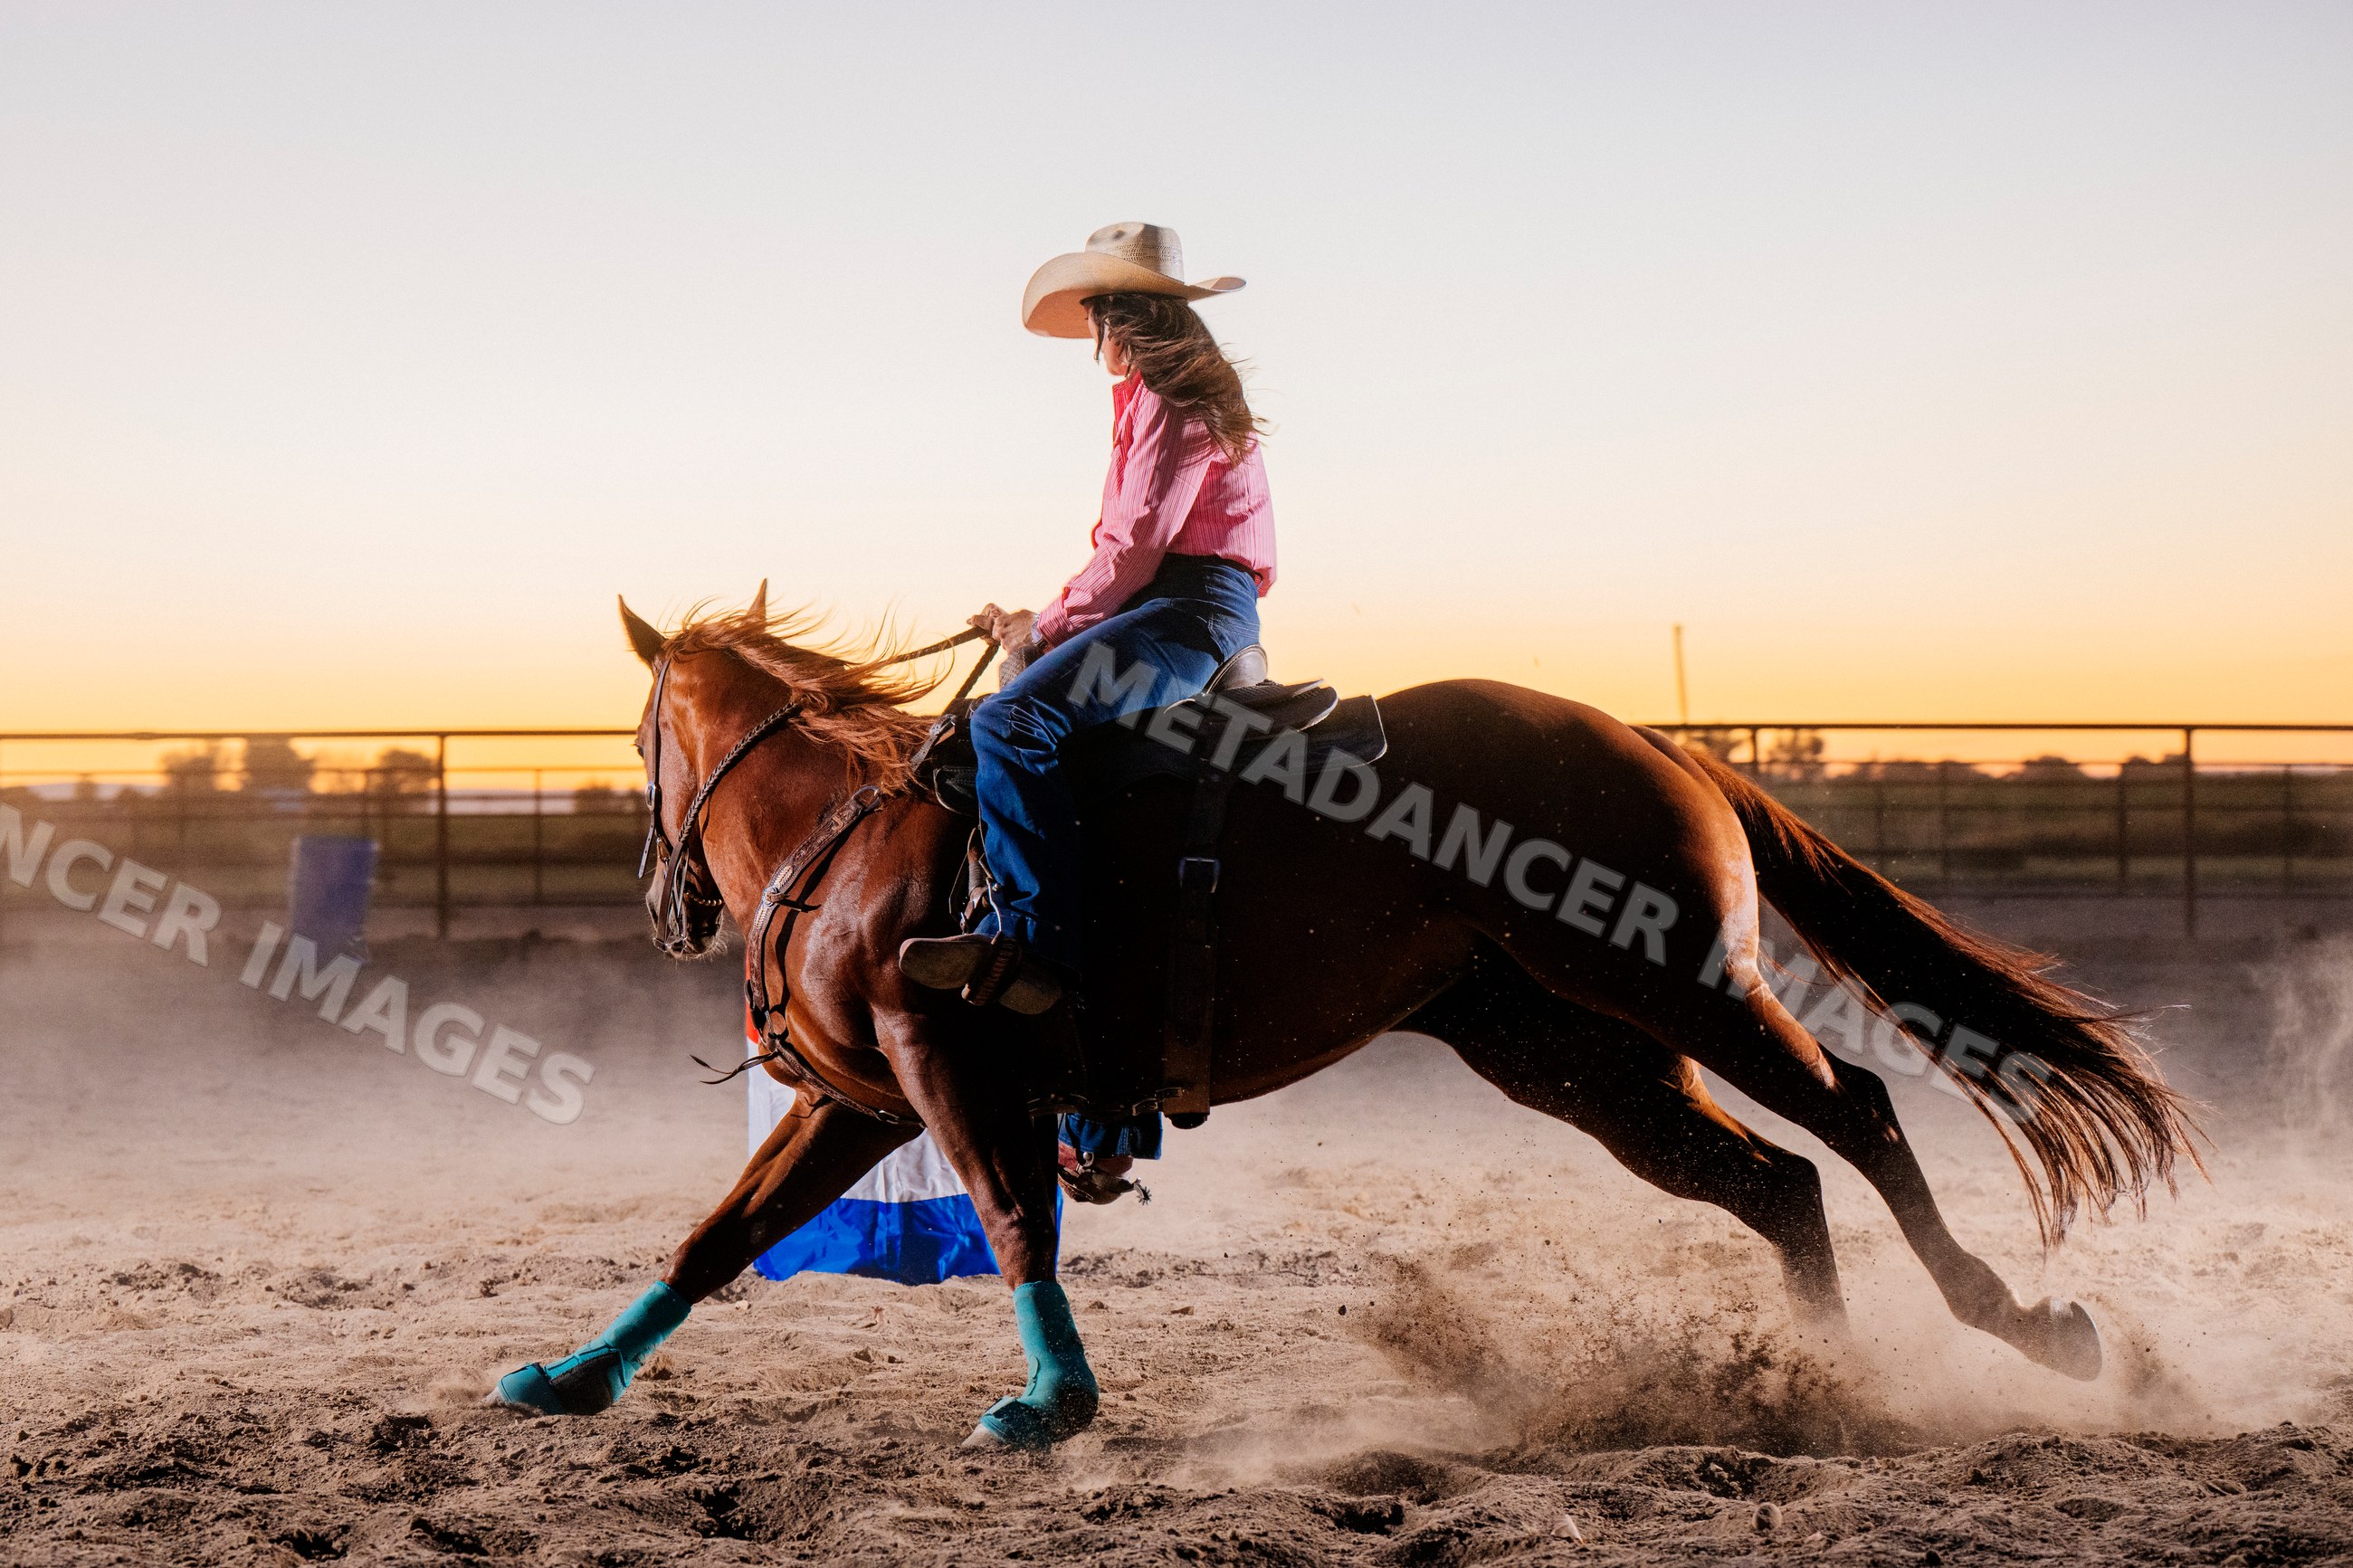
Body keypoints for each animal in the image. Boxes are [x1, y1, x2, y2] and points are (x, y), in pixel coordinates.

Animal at [503, 590, 2199, 1448]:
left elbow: (1011, 1217)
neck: (853, 837)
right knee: (1773, 1178)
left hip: (1677, 982)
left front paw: (1054, 1401)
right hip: (1571, 1051)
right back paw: (1826, 1383)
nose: (665, 901)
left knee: (1856, 1106)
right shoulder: (857, 1099)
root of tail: (1656, 742)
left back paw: (2015, 1324)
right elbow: (717, 1234)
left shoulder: (949, 1070)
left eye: (640, 735)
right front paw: (574, 1378)